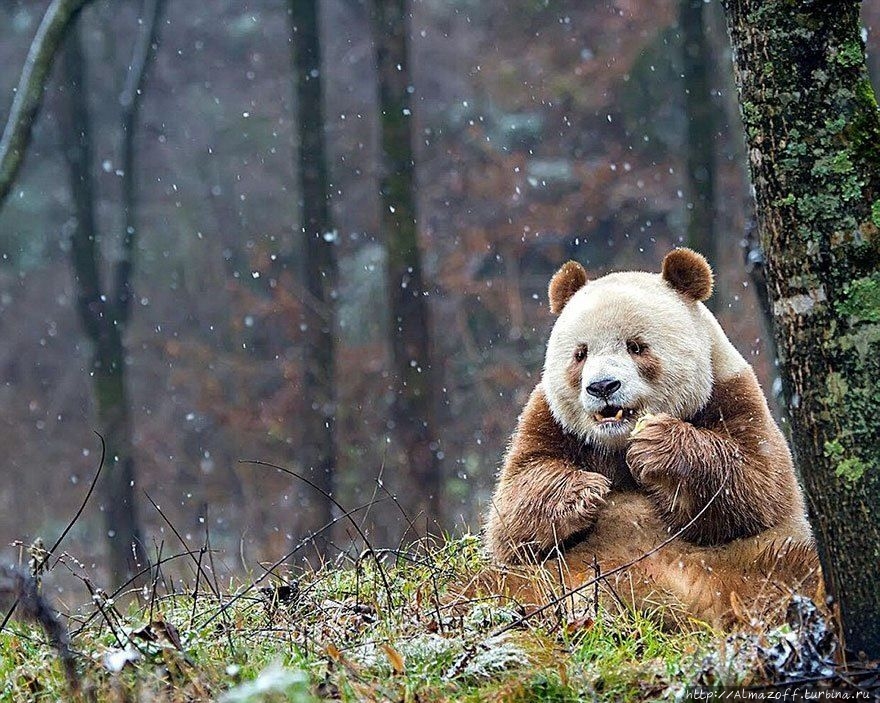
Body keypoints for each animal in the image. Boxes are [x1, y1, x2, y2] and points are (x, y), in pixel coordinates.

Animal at [482, 248, 820, 628]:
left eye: (636, 347)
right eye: (580, 353)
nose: (602, 386)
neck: (616, 443)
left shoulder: (732, 394)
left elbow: (756, 486)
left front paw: (657, 447)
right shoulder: (549, 419)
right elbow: (513, 510)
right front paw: (584, 491)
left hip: (747, 561)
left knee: (795, 571)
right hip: (549, 575)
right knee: (485, 585)